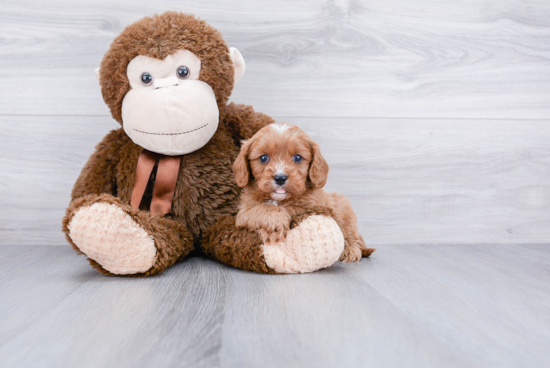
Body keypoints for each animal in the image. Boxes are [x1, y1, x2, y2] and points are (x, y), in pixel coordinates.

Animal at [233, 123, 376, 262]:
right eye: (263, 158)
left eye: (297, 158)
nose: (280, 178)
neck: (279, 199)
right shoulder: (243, 214)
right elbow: (262, 208)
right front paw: (273, 226)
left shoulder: (314, 207)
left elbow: (292, 208)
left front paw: (273, 230)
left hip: (345, 210)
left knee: (353, 236)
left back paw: (350, 250)